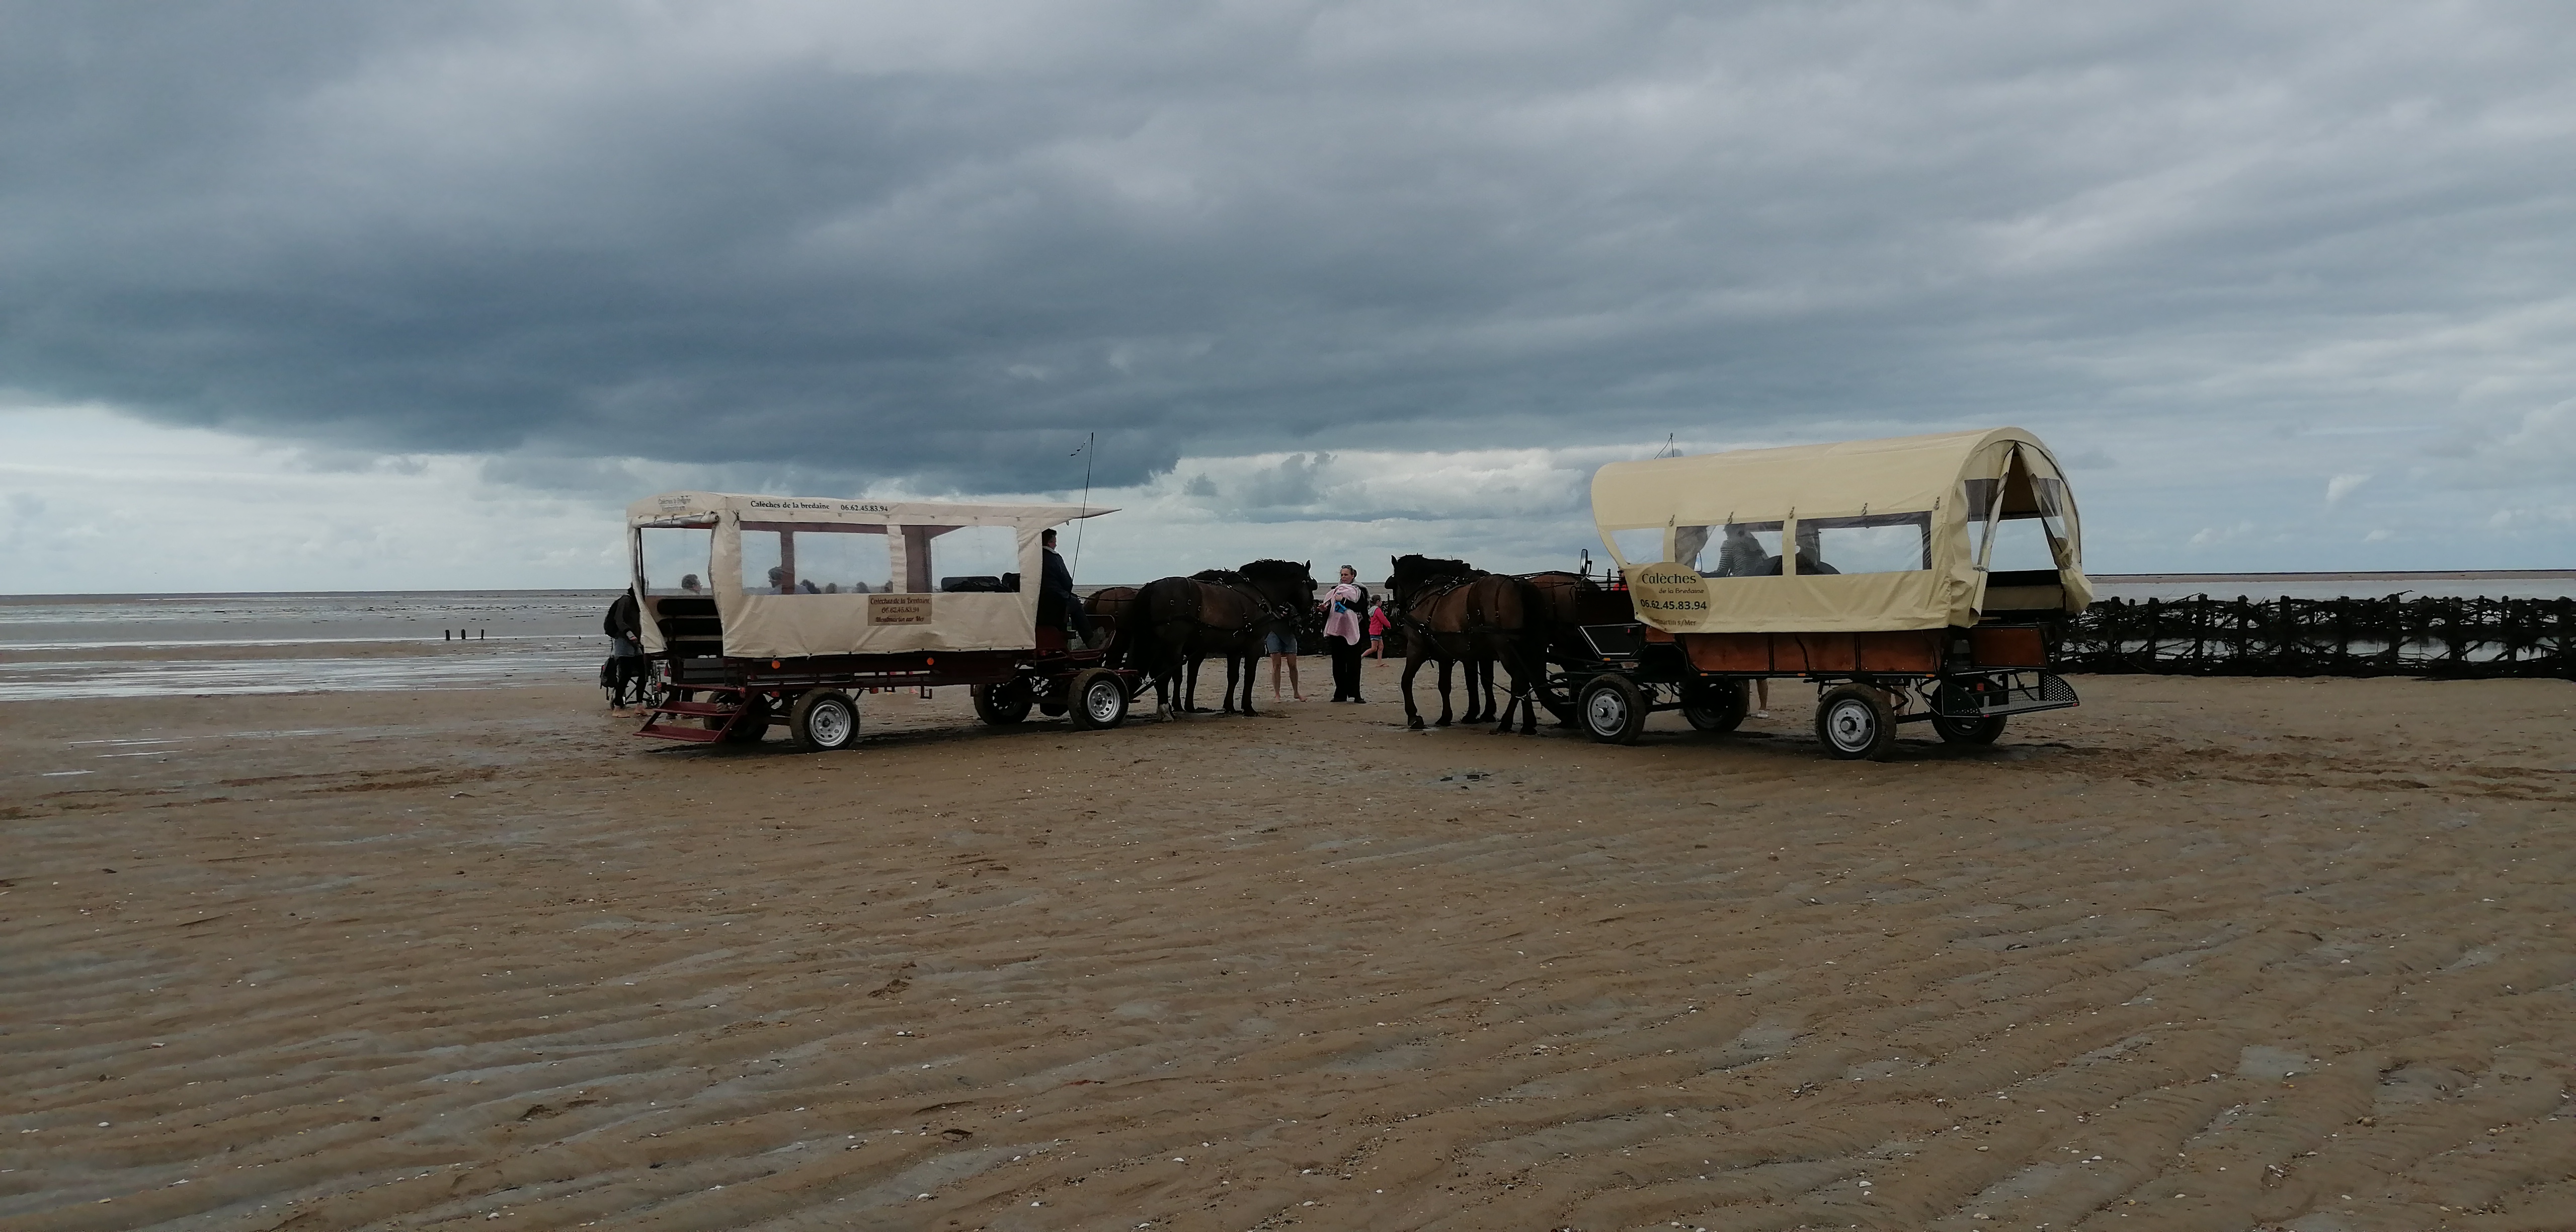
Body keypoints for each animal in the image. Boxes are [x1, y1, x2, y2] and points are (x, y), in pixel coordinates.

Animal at [1386, 554, 1548, 734]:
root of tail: (1518, 584)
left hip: (1505, 649)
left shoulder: (1416, 647)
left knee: (1519, 680)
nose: (1394, 615)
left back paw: (1507, 722)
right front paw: (1447, 717)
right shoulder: (1447, 655)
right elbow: (1446, 685)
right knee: (1527, 679)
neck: (1427, 595)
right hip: (1524, 648)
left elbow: (1406, 680)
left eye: (1394, 585)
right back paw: (1528, 724)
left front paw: (1413, 716)